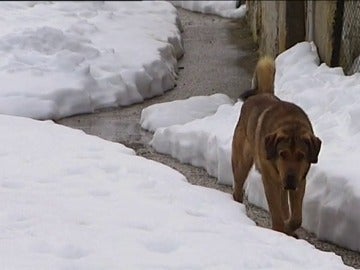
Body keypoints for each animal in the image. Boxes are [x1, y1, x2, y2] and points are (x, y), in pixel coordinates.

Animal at [232, 56, 322, 236]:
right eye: (282, 154)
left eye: (301, 156)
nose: (290, 180)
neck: (291, 125)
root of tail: (263, 93)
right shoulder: (270, 181)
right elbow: (276, 213)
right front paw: (280, 232)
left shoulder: (300, 179)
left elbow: (296, 217)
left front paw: (289, 228)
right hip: (242, 160)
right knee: (237, 185)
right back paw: (237, 208)